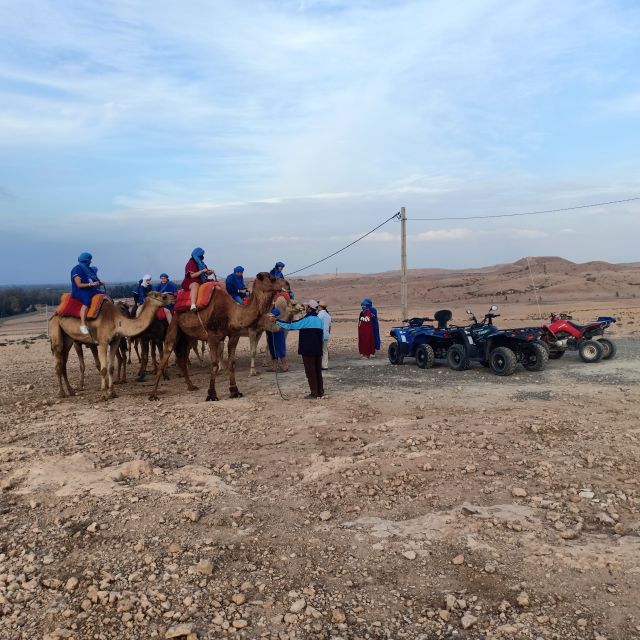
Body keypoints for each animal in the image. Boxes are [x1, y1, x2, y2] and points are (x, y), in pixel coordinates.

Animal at [149, 274, 288, 402]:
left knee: (182, 360)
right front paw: (211, 394)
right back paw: (153, 395)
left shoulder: (234, 336)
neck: (231, 313)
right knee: (167, 353)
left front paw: (235, 391)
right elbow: (215, 364)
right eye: (272, 278)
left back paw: (191, 386)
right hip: (174, 325)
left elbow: (231, 363)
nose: (287, 284)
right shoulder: (212, 337)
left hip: (188, 336)